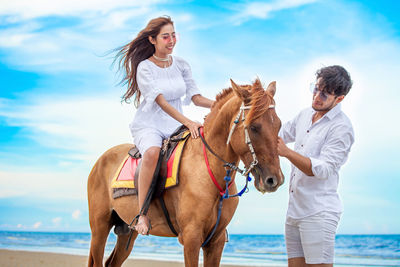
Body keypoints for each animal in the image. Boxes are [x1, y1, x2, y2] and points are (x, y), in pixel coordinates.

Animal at [87, 79, 284, 267]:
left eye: (279, 125)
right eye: (254, 127)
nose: (274, 180)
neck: (209, 170)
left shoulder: (216, 241)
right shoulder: (191, 238)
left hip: (127, 231)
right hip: (99, 228)